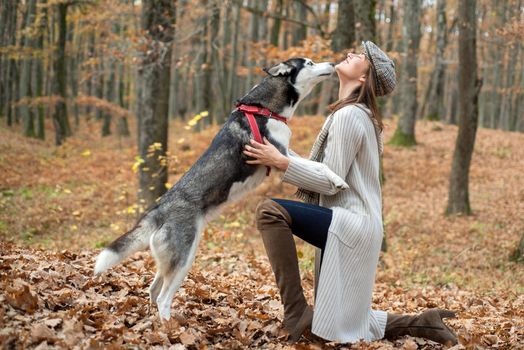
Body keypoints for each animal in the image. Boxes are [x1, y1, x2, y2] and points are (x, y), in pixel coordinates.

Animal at [94, 57, 348, 320]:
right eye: (309, 63)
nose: (332, 63)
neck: (264, 108)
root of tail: (159, 209)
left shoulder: (284, 153)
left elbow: (313, 164)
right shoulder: (278, 155)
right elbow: (316, 164)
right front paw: (337, 180)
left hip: (174, 258)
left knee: (153, 290)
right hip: (184, 257)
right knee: (163, 298)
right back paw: (170, 326)